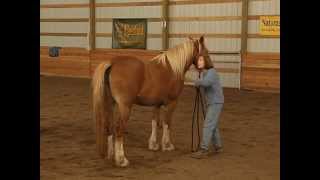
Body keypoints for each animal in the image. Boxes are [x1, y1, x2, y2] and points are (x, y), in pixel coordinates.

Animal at [92, 35, 210, 167]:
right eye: (206, 52)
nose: (210, 66)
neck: (173, 69)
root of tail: (112, 63)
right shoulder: (172, 103)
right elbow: (167, 123)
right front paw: (167, 145)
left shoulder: (156, 104)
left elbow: (155, 122)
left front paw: (153, 144)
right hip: (125, 107)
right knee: (118, 129)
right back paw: (121, 160)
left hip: (110, 104)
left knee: (109, 126)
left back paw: (111, 154)